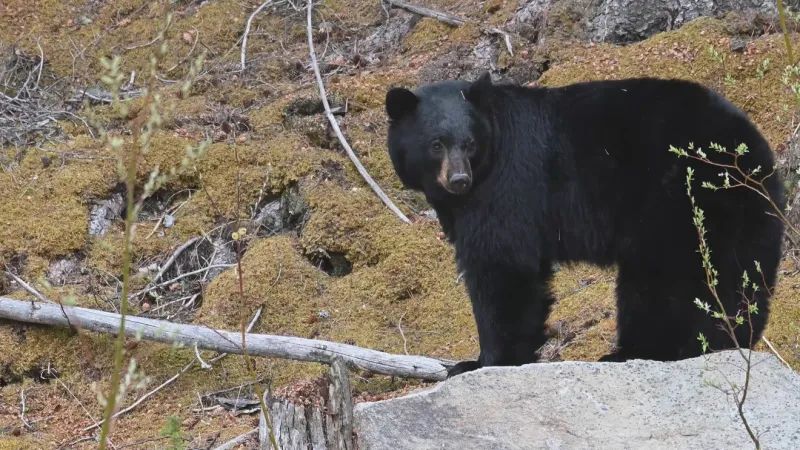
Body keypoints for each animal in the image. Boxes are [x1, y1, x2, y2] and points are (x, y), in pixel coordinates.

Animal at [384, 72, 786, 378]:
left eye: (469, 143)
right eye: (436, 144)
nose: (459, 180)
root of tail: (757, 153)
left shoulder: (506, 187)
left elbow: (501, 266)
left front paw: (481, 362)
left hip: (680, 203)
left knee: (665, 282)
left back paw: (645, 351)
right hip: (737, 214)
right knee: (735, 276)